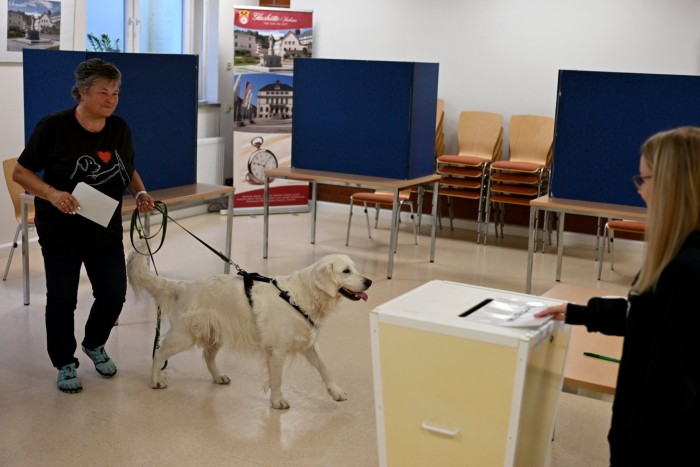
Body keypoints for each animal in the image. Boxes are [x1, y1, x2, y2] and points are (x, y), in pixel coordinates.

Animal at [129, 252, 374, 410]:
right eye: (346, 271)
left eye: (355, 268)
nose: (369, 281)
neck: (300, 296)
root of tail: (185, 285)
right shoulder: (277, 350)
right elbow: (277, 379)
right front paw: (278, 401)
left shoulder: (309, 342)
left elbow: (325, 368)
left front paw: (336, 392)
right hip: (184, 335)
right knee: (159, 352)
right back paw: (156, 379)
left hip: (215, 333)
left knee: (207, 356)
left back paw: (219, 376)